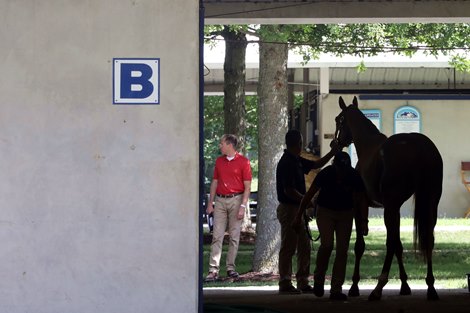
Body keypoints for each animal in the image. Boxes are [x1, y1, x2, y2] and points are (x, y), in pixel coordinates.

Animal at [336, 95, 442, 300]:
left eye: (339, 120)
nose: (334, 144)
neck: (368, 146)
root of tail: (420, 146)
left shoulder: (360, 205)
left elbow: (360, 245)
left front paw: (354, 285)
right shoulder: (396, 209)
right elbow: (400, 245)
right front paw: (404, 285)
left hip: (392, 207)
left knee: (390, 243)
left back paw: (378, 287)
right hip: (430, 202)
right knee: (428, 239)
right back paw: (431, 286)